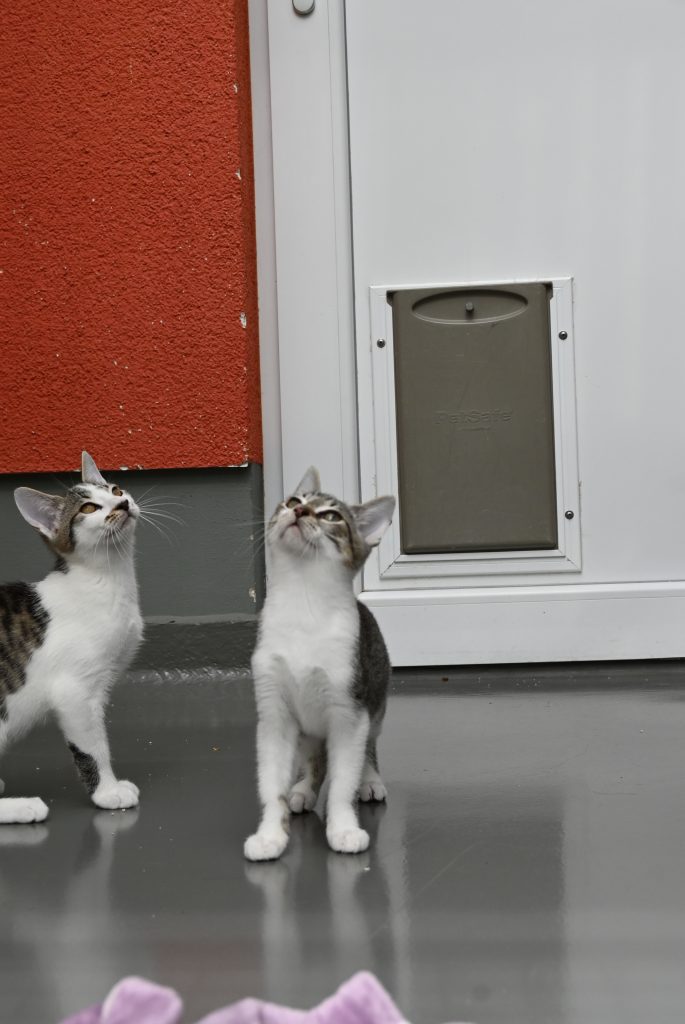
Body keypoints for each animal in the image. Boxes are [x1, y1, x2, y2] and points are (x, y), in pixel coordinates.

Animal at [0, 452, 143, 824]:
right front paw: (107, 792)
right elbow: (93, 747)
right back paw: (23, 806)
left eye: (115, 489)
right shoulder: (75, 691)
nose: (122, 503)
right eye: (88, 509)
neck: (107, 579)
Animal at [244, 467, 395, 861]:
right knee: (314, 757)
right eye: (293, 500)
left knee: (368, 747)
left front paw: (343, 827)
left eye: (331, 516)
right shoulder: (275, 715)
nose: (299, 511)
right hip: (308, 729)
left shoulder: (349, 712)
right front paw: (270, 834)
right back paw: (304, 788)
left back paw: (370, 779)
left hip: (375, 702)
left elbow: (344, 779)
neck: (304, 601)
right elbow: (272, 785)